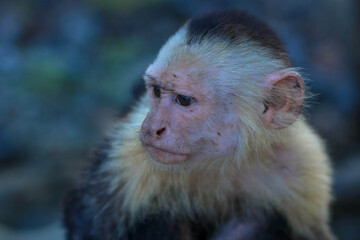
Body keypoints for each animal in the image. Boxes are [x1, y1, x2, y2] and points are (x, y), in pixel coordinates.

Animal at [63, 9, 336, 240]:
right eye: (157, 91)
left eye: (183, 100)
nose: (152, 128)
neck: (221, 161)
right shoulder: (127, 158)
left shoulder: (303, 165)